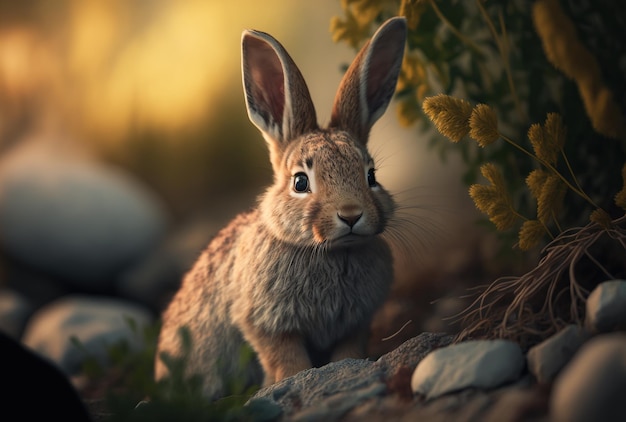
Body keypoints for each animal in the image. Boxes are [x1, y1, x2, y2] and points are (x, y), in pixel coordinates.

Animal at [156, 16, 408, 398]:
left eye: (371, 175)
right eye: (300, 182)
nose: (351, 215)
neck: (330, 252)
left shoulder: (355, 324)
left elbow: (348, 351)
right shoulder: (267, 324)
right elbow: (287, 358)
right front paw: (292, 380)